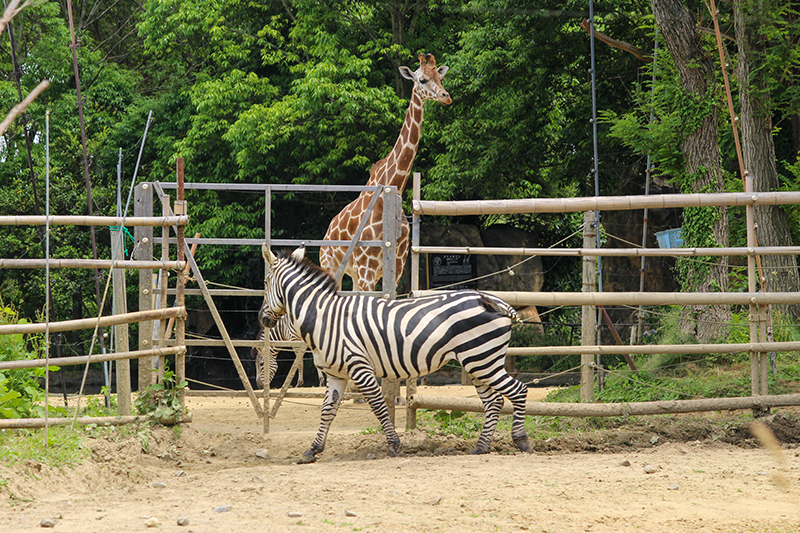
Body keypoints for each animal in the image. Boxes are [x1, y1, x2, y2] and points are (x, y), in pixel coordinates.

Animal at [258, 244, 532, 462]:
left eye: (265, 282)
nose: (262, 319)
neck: (325, 318)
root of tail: (491, 299)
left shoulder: (360, 367)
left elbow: (379, 406)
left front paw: (392, 444)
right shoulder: (337, 374)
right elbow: (327, 411)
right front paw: (312, 450)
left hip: (483, 360)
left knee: (518, 390)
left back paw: (521, 440)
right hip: (477, 362)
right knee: (494, 401)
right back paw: (481, 447)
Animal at [322, 54, 454, 290]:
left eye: (440, 77)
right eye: (422, 80)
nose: (445, 97)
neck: (392, 192)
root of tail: (328, 231)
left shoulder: (396, 268)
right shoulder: (366, 269)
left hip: (354, 275)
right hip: (331, 265)